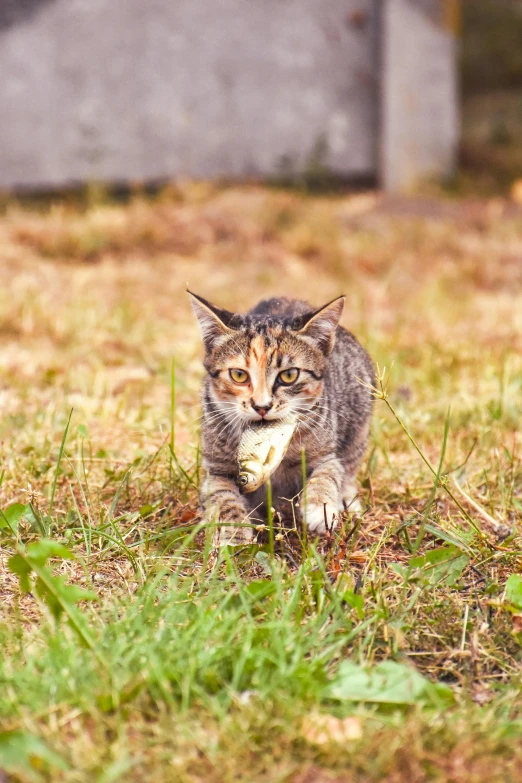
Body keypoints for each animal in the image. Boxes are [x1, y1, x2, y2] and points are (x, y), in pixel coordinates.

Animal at [188, 292, 374, 544]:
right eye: (238, 375)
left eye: (289, 375)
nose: (262, 406)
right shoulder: (216, 468)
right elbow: (223, 495)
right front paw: (233, 530)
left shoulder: (325, 453)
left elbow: (327, 473)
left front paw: (321, 507)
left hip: (359, 424)